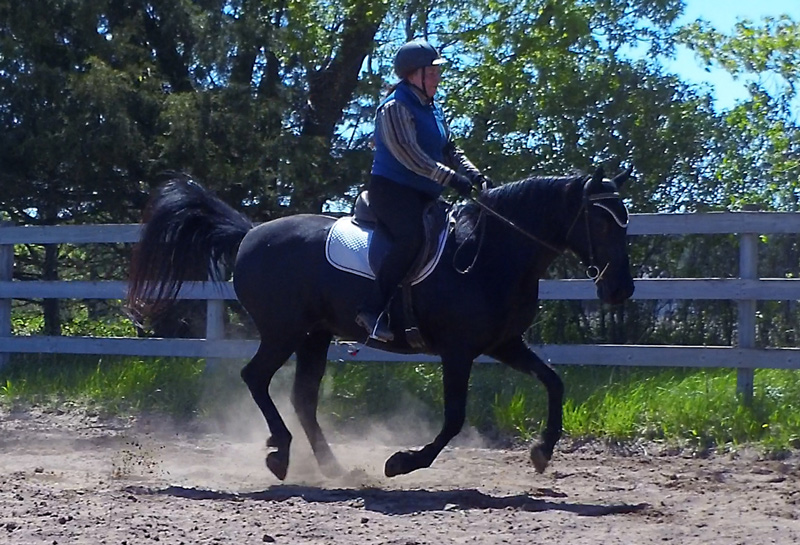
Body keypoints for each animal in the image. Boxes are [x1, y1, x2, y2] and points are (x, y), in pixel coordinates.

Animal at [127, 167, 635, 481]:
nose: (621, 291)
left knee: (302, 397)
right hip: (283, 332)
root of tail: (251, 233)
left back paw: (332, 467)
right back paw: (281, 451)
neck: (491, 252)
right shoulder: (458, 350)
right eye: (601, 223)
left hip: (314, 335)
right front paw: (403, 463)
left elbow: (554, 381)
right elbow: (454, 418)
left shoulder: (505, 343)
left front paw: (542, 451)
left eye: (625, 222)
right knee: (256, 378)